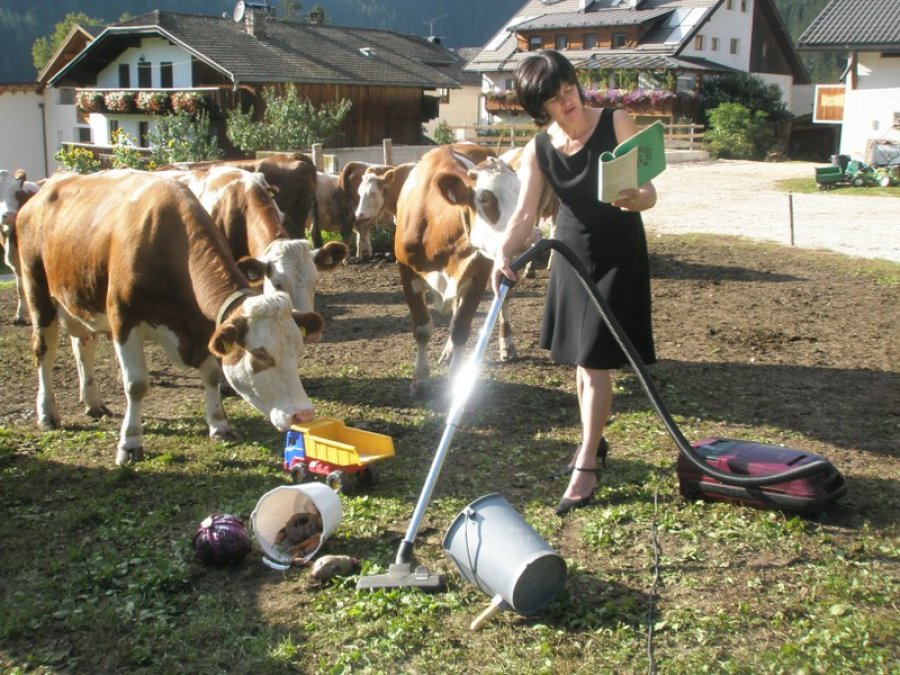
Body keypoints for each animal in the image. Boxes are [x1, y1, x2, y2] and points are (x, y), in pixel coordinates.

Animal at [16, 169, 324, 464]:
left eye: (297, 350)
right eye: (260, 355)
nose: (303, 415)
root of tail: (47, 187)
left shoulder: (204, 327)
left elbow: (212, 374)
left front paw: (219, 425)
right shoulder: (123, 318)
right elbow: (136, 384)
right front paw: (130, 443)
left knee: (83, 344)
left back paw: (93, 402)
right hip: (36, 288)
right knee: (44, 351)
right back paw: (47, 413)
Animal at [396, 144, 540, 396]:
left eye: (523, 195)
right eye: (484, 198)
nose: (530, 235)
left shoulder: (478, 275)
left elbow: (461, 328)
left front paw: (455, 382)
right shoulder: (406, 271)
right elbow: (422, 328)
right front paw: (419, 380)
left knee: (504, 300)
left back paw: (507, 344)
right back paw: (447, 352)